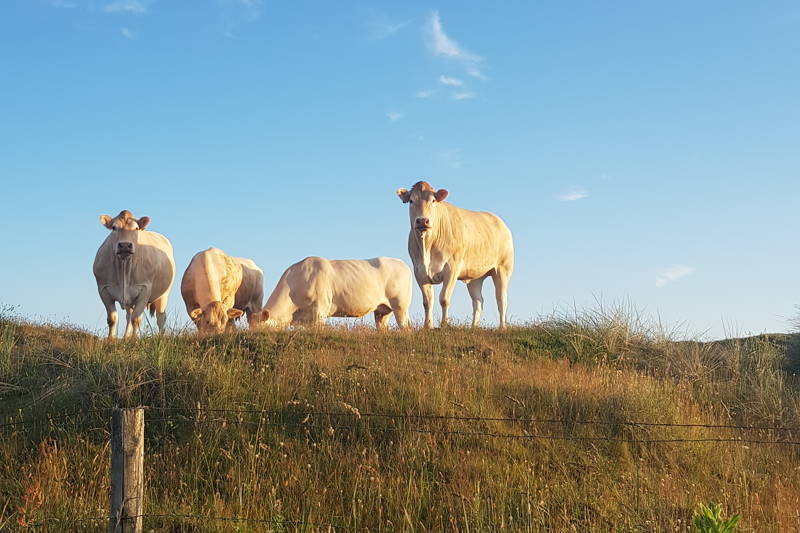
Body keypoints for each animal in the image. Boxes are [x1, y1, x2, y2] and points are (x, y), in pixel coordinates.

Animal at [396, 181, 516, 326]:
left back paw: (502, 327)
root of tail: (499, 222)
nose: (423, 220)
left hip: (502, 269)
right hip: (475, 277)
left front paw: (444, 325)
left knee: (501, 300)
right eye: (411, 201)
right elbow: (427, 302)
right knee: (478, 302)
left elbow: (444, 299)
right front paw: (427, 326)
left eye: (433, 200)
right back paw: (473, 327)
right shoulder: (419, 272)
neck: (427, 247)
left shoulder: (452, 268)